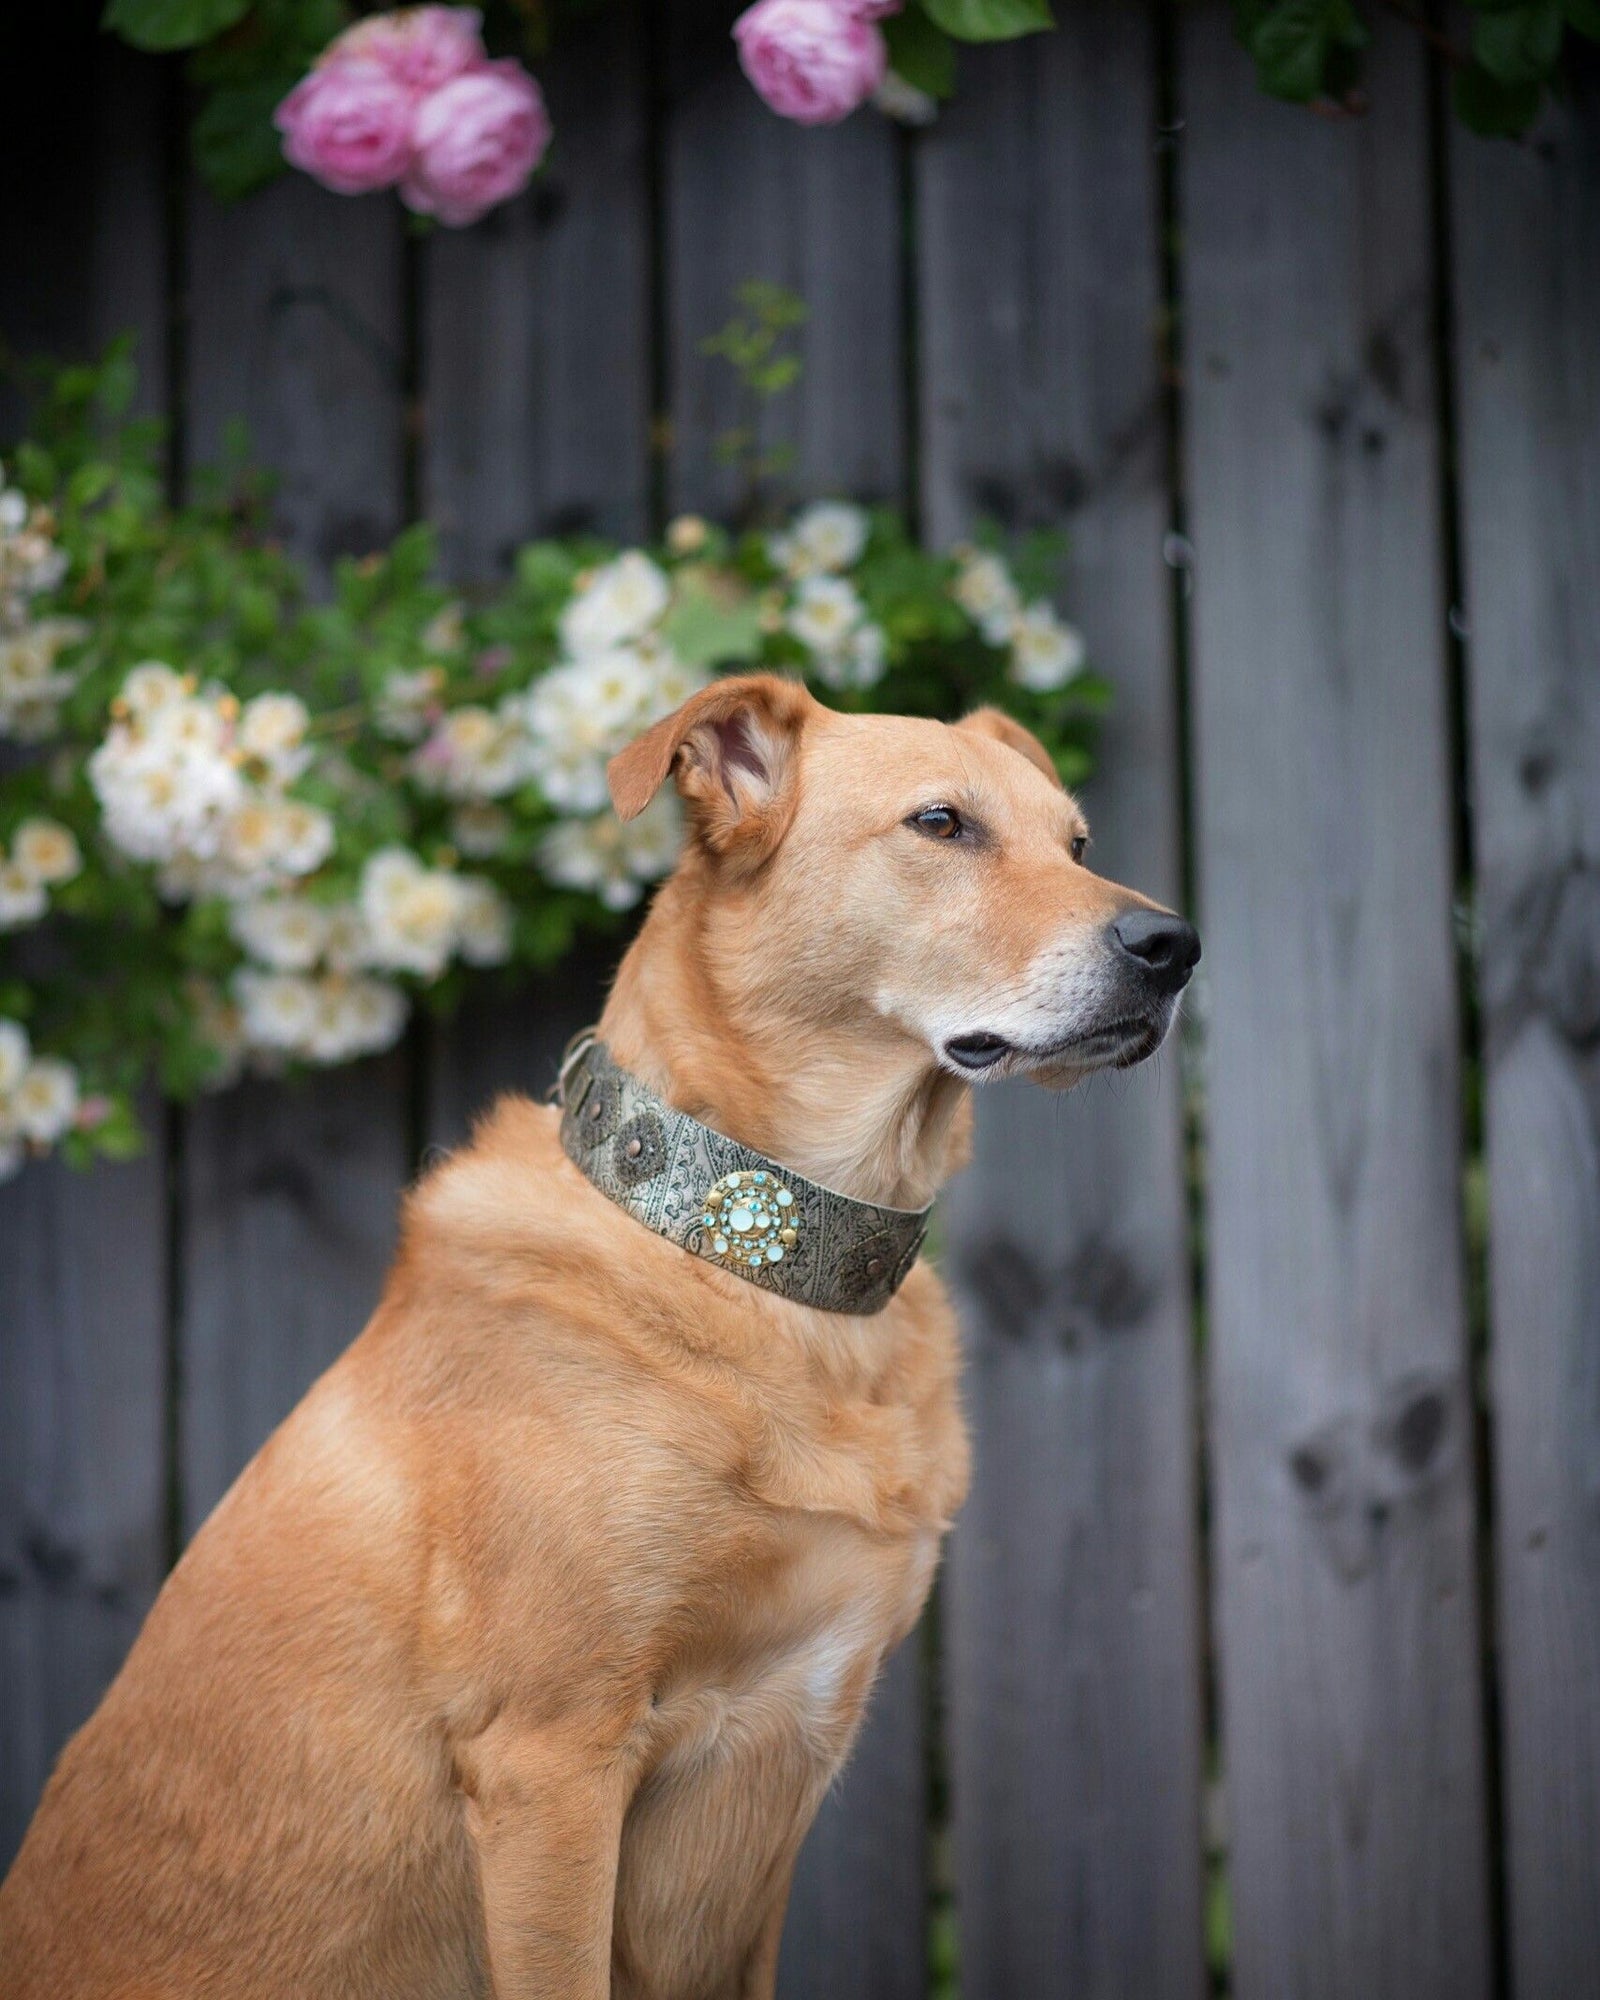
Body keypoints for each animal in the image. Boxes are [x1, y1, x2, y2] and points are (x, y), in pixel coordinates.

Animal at [0, 680, 1200, 1992]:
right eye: (941, 823)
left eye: (1077, 841)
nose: (1173, 947)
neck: (763, 1260)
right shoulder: (551, 1759)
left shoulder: (774, 1785)